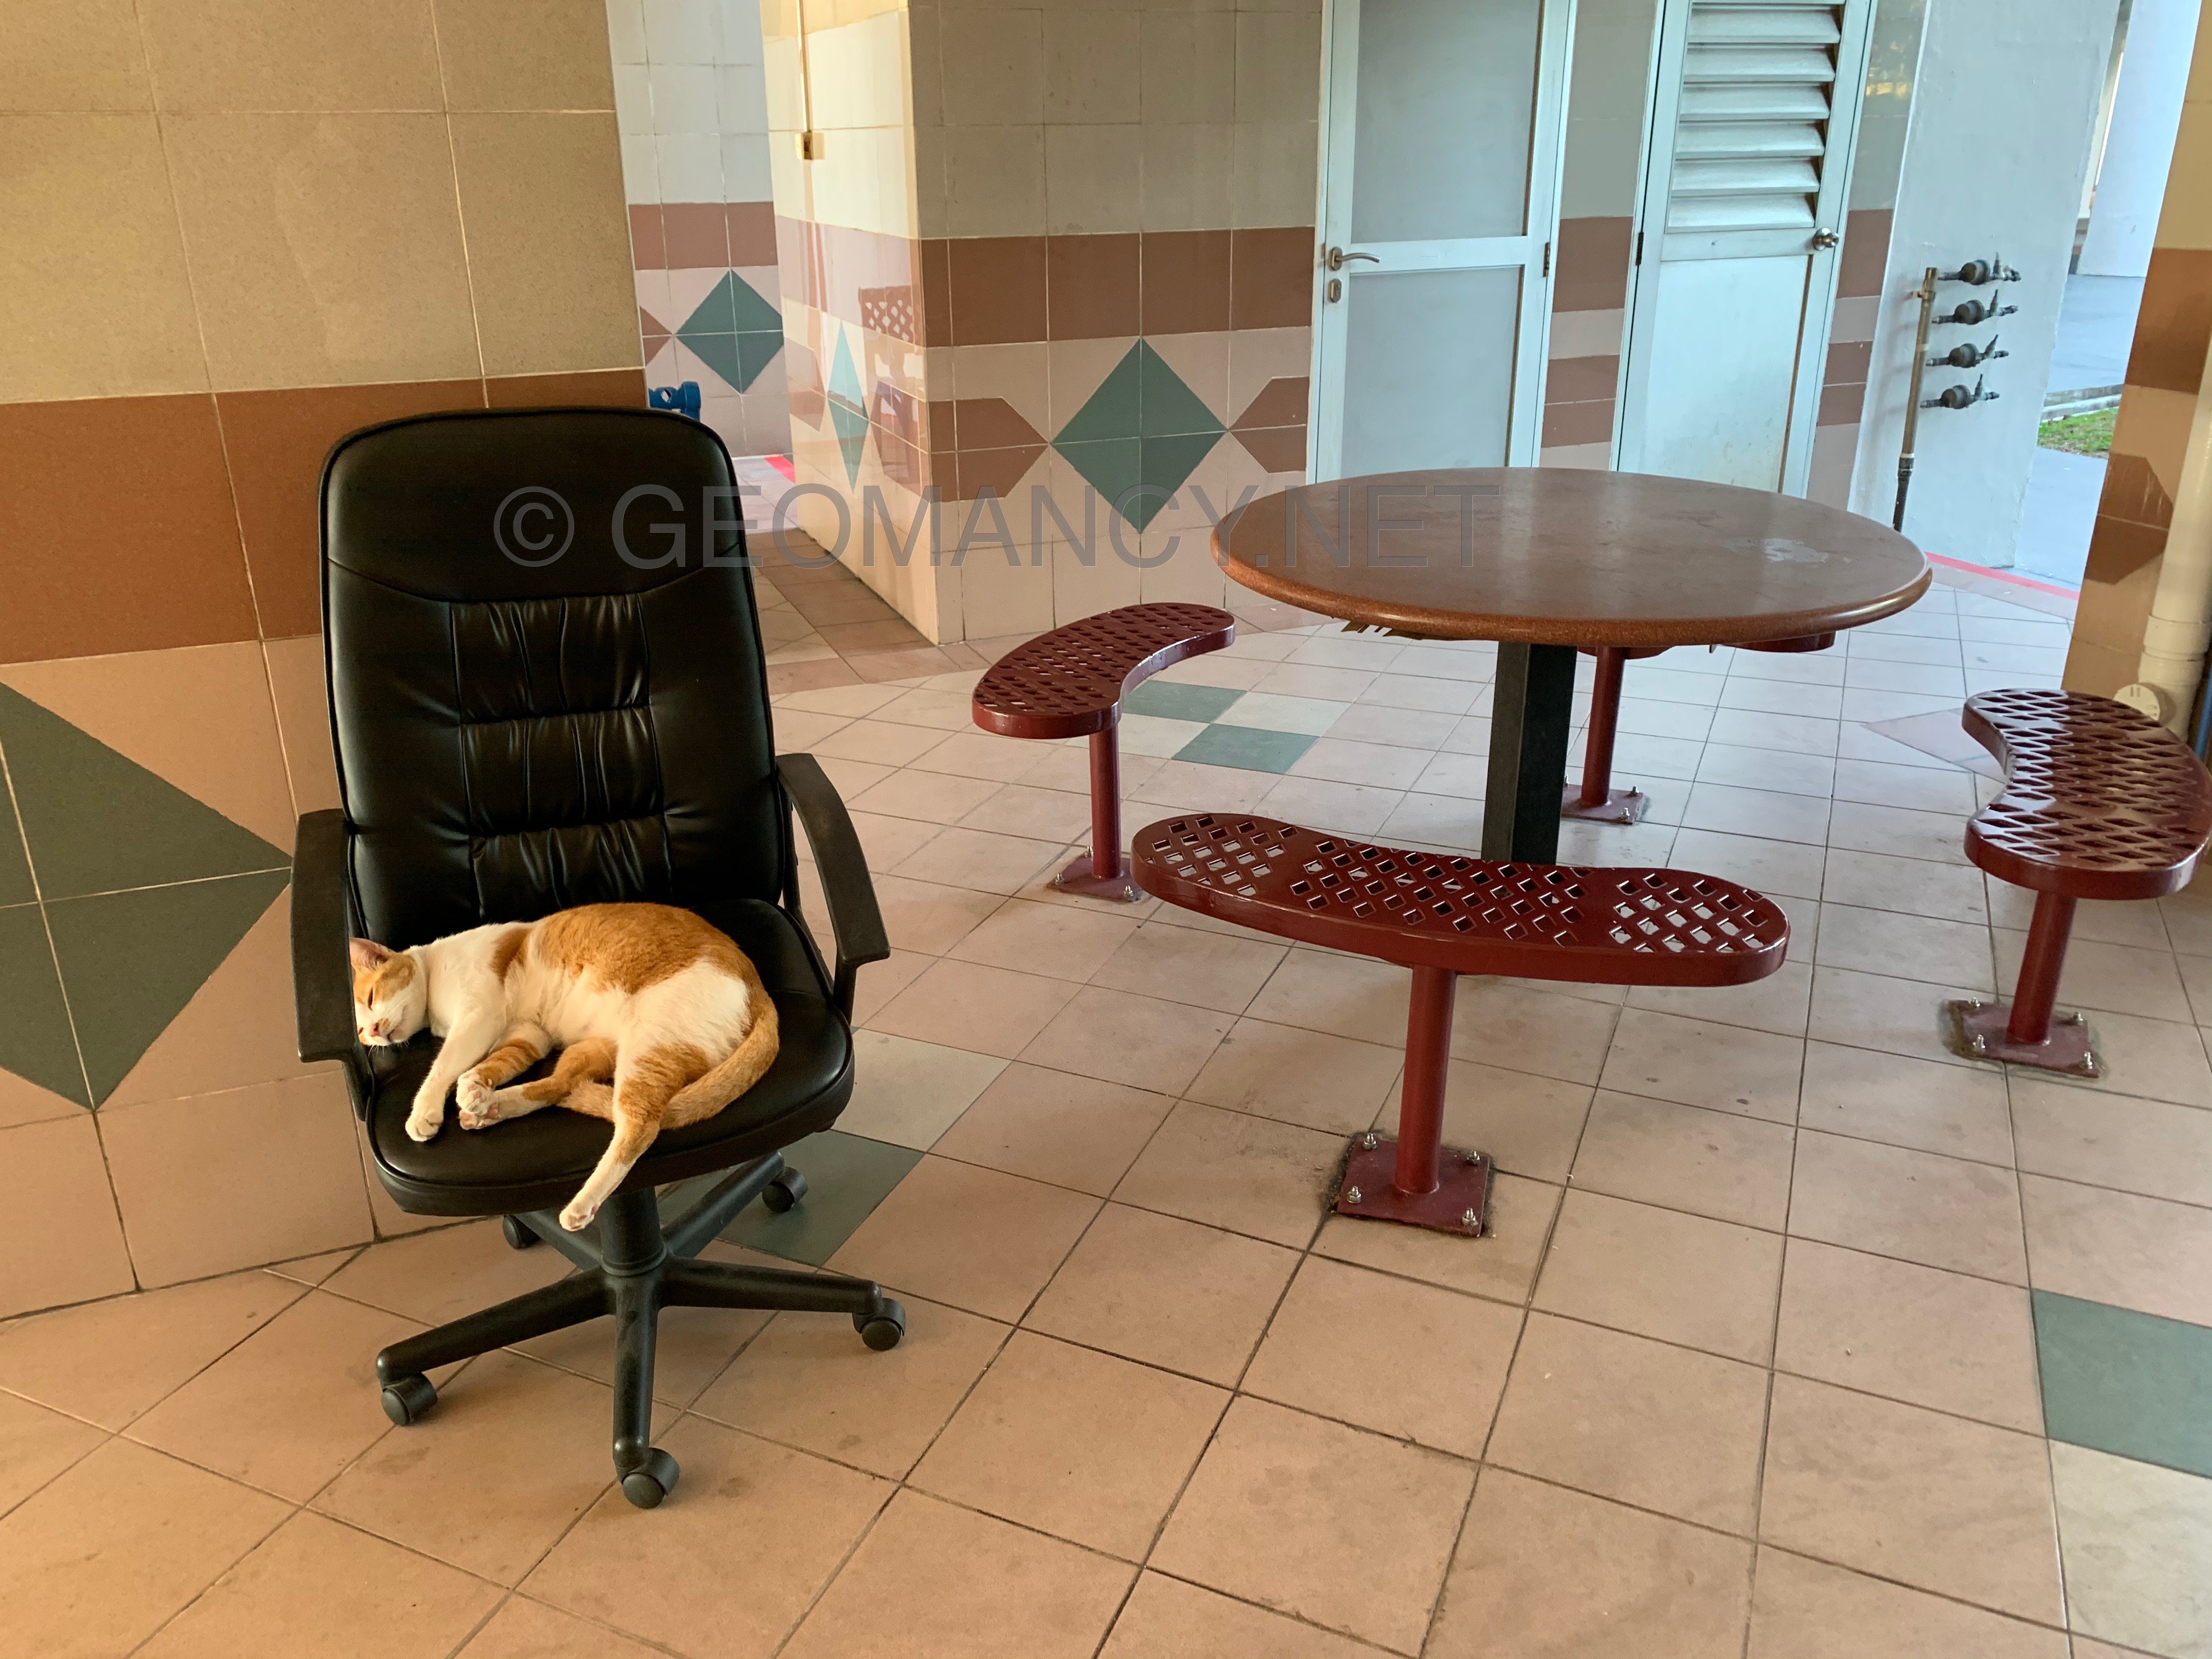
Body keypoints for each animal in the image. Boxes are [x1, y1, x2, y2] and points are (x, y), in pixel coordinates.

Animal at [349, 902, 779, 1232]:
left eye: (371, 998)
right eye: (361, 1032)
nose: (374, 1032)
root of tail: (759, 988)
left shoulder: (478, 1016)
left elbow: (443, 1067)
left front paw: (425, 1113)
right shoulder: (528, 1035)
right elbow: (493, 1064)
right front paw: (475, 1088)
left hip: (650, 1045)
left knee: (639, 1125)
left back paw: (581, 1205)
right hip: (595, 1049)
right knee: (559, 1085)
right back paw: (490, 1108)